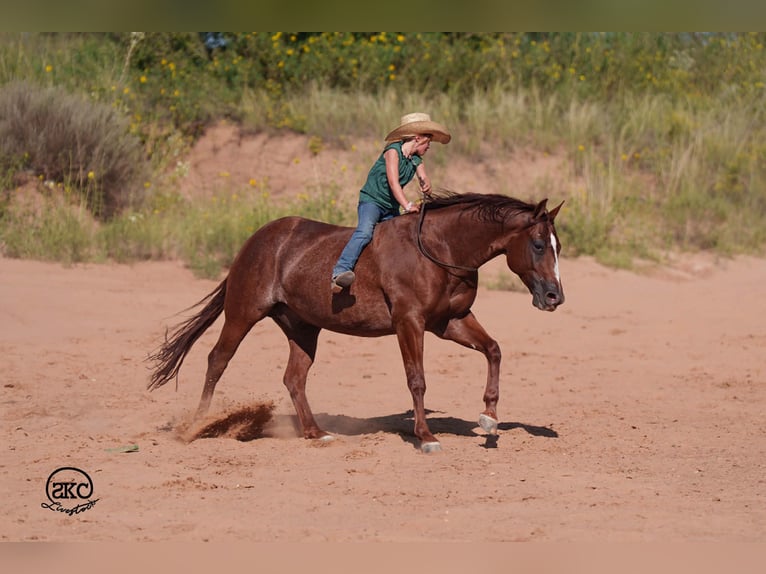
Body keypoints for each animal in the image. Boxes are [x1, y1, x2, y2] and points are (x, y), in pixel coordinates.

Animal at [148, 192, 565, 453]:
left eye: (558, 246)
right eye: (538, 244)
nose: (554, 297)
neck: (440, 249)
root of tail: (256, 239)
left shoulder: (451, 321)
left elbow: (493, 350)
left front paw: (489, 418)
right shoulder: (409, 321)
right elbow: (417, 379)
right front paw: (426, 436)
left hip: (302, 327)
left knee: (294, 378)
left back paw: (316, 433)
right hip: (243, 312)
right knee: (217, 360)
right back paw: (196, 426)